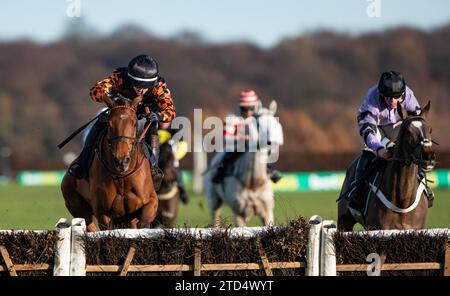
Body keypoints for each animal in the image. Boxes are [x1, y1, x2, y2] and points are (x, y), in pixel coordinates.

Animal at [59, 95, 158, 231]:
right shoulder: (103, 213)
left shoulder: (150, 202)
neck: (122, 177)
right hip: (77, 205)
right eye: (109, 124)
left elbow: (144, 222)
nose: (121, 160)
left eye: (134, 124)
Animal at [338, 102, 436, 231]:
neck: (402, 201)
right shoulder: (377, 228)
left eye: (430, 130)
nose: (428, 157)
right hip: (344, 221)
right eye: (408, 131)